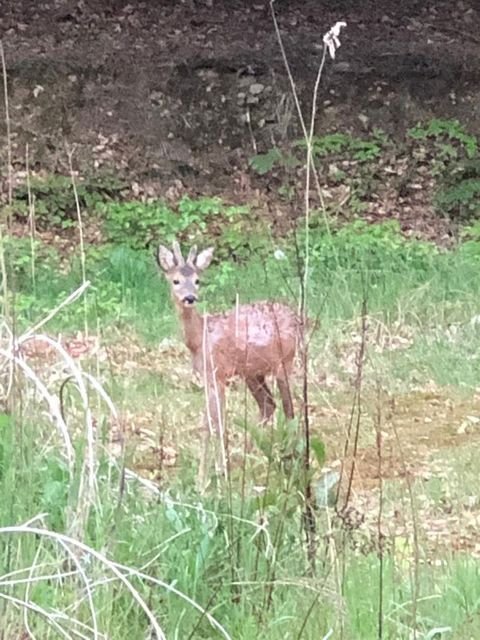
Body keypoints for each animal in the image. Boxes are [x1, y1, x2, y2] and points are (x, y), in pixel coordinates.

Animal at [158, 240, 298, 484]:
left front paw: (215, 474)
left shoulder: (218, 372)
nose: (190, 298)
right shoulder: (207, 376)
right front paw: (207, 475)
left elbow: (217, 423)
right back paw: (249, 457)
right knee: (268, 404)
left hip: (284, 362)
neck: (200, 338)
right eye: (175, 280)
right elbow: (207, 423)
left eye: (198, 280)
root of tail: (301, 319)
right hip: (253, 373)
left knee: (289, 409)